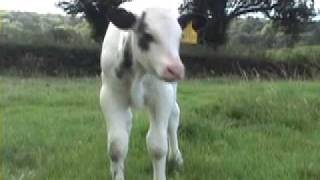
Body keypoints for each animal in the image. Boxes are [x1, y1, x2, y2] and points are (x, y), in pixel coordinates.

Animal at [99, 1, 205, 180]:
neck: (138, 72)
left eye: (179, 37)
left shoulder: (162, 96)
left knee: (174, 117)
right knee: (127, 121)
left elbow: (157, 146)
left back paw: (176, 158)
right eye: (147, 35)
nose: (175, 69)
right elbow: (116, 146)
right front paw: (116, 170)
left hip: (172, 92)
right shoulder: (110, 95)